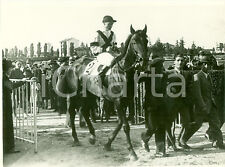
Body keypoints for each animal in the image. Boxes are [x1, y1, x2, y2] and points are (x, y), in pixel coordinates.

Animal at [56, 25, 148, 160]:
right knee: (72, 113)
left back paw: (92, 136)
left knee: (84, 111)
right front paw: (132, 152)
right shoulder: (118, 101)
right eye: (134, 42)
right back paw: (75, 138)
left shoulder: (125, 101)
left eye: (146, 41)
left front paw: (108, 144)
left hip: (89, 94)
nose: (143, 61)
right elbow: (125, 126)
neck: (122, 71)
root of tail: (72, 66)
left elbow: (120, 123)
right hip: (75, 95)